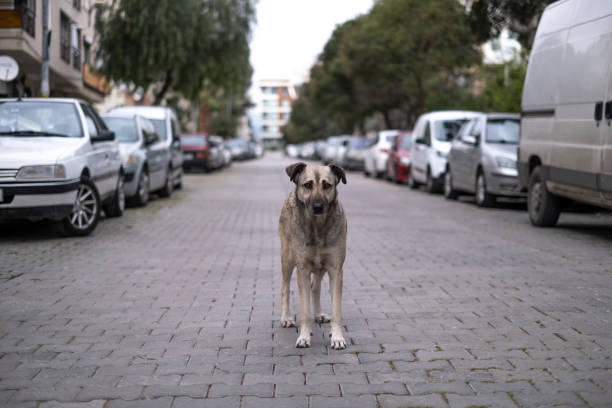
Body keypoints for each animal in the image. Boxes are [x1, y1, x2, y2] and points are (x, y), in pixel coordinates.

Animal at [278, 163, 346, 350]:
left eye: (327, 185)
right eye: (307, 185)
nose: (317, 206)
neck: (317, 227)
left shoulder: (335, 269)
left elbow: (337, 310)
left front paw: (337, 337)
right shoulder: (303, 269)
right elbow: (304, 311)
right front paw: (304, 337)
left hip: (321, 266)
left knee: (315, 287)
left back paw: (319, 314)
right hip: (287, 258)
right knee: (285, 287)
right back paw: (285, 318)